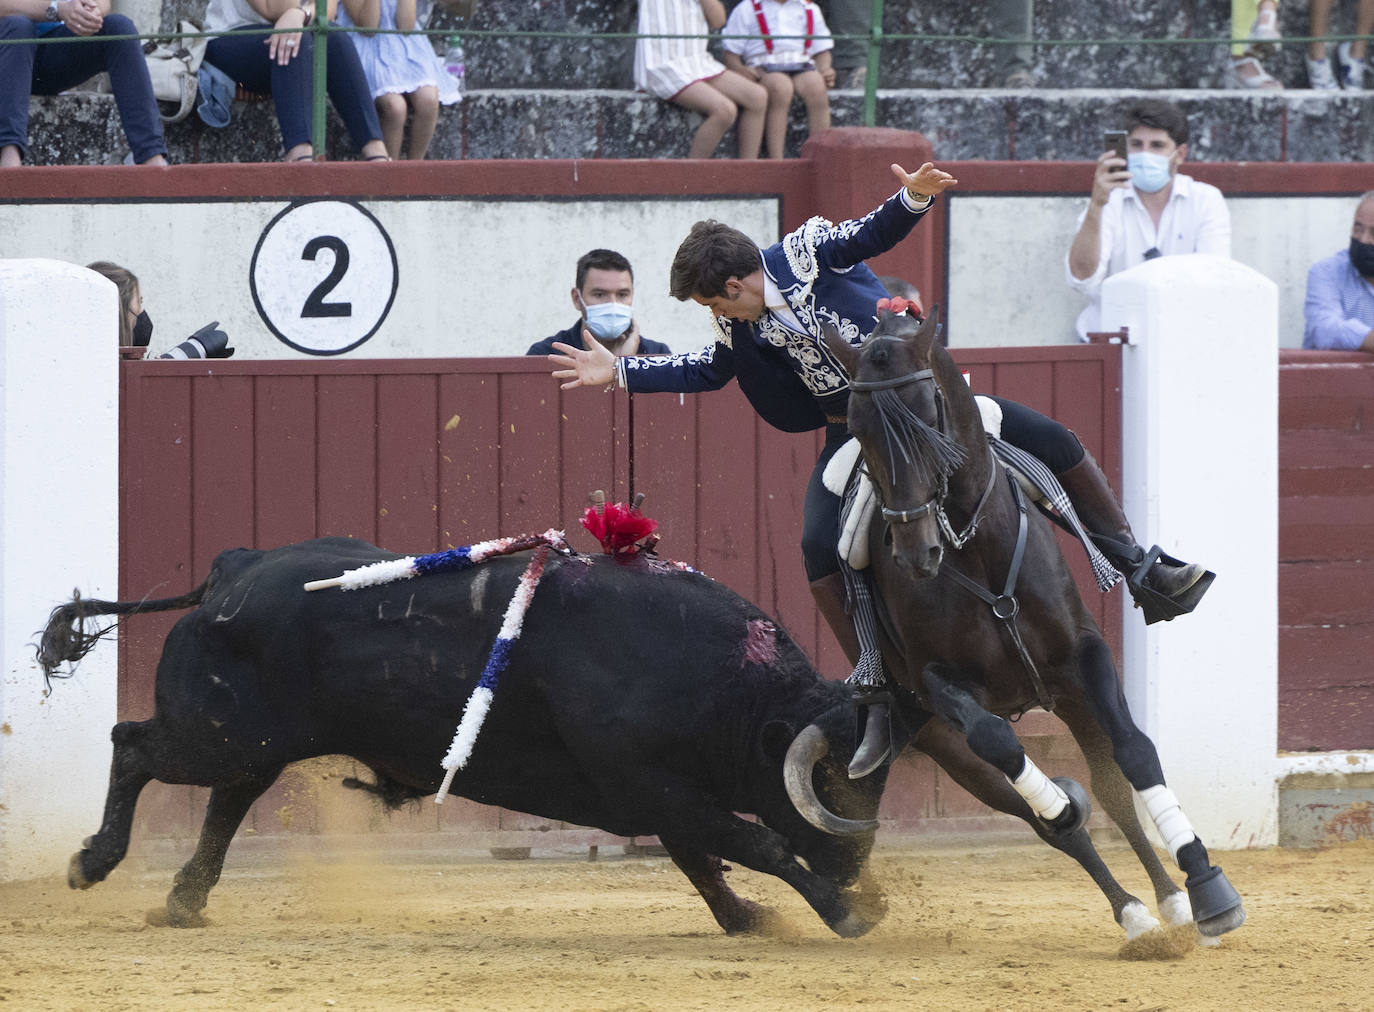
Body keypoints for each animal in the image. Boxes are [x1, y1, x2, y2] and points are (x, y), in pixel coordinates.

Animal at [37, 538, 895, 939]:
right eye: (830, 783)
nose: (864, 873)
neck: (728, 685)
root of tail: (233, 568)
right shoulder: (654, 786)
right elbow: (755, 845)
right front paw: (845, 915)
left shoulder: (661, 795)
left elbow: (705, 861)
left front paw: (751, 919)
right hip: (214, 735)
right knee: (135, 745)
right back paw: (93, 861)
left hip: (252, 741)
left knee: (224, 802)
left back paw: (183, 900)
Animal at [802, 306, 1258, 939]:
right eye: (859, 432)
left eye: (930, 418)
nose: (916, 553)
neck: (975, 547)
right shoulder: (940, 686)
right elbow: (1006, 749)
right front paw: (1061, 804)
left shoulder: (1084, 656)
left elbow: (1135, 753)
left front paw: (1208, 885)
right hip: (939, 736)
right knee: (1039, 809)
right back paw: (1131, 909)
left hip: (1068, 696)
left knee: (1112, 790)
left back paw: (1166, 901)